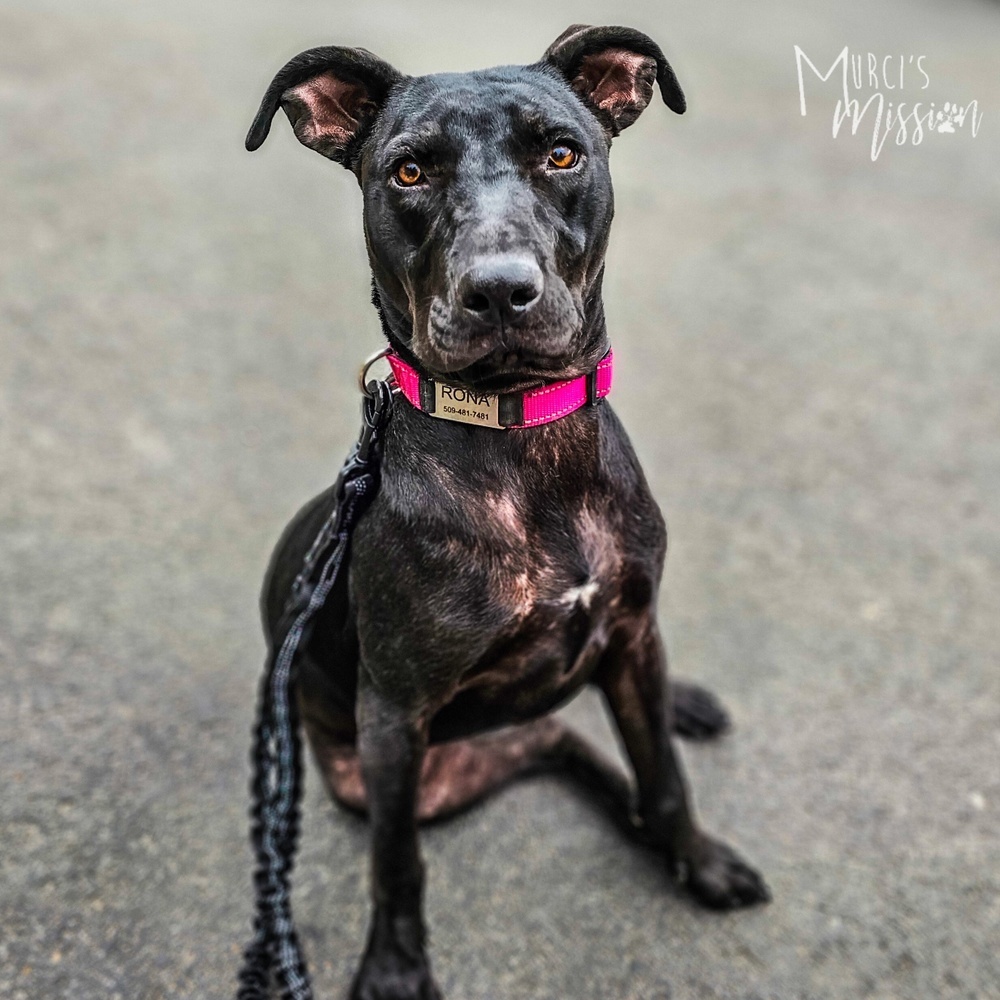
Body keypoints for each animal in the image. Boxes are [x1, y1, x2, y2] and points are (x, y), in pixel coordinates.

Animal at [246, 23, 768, 1000]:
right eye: (409, 172)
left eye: (561, 154)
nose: (498, 289)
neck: (525, 443)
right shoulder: (396, 721)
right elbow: (397, 861)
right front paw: (394, 966)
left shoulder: (631, 625)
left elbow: (665, 773)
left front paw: (700, 859)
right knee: (565, 745)